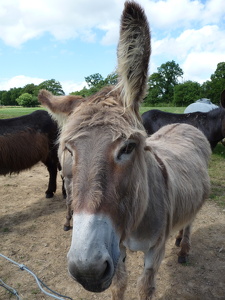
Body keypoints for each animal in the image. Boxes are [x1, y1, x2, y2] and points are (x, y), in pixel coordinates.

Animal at [38, 1, 211, 298]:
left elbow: (145, 286)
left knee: (190, 221)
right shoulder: (116, 247)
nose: (87, 271)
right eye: (69, 151)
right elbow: (119, 284)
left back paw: (184, 249)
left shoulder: (155, 249)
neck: (134, 222)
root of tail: (183, 124)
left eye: (128, 147)